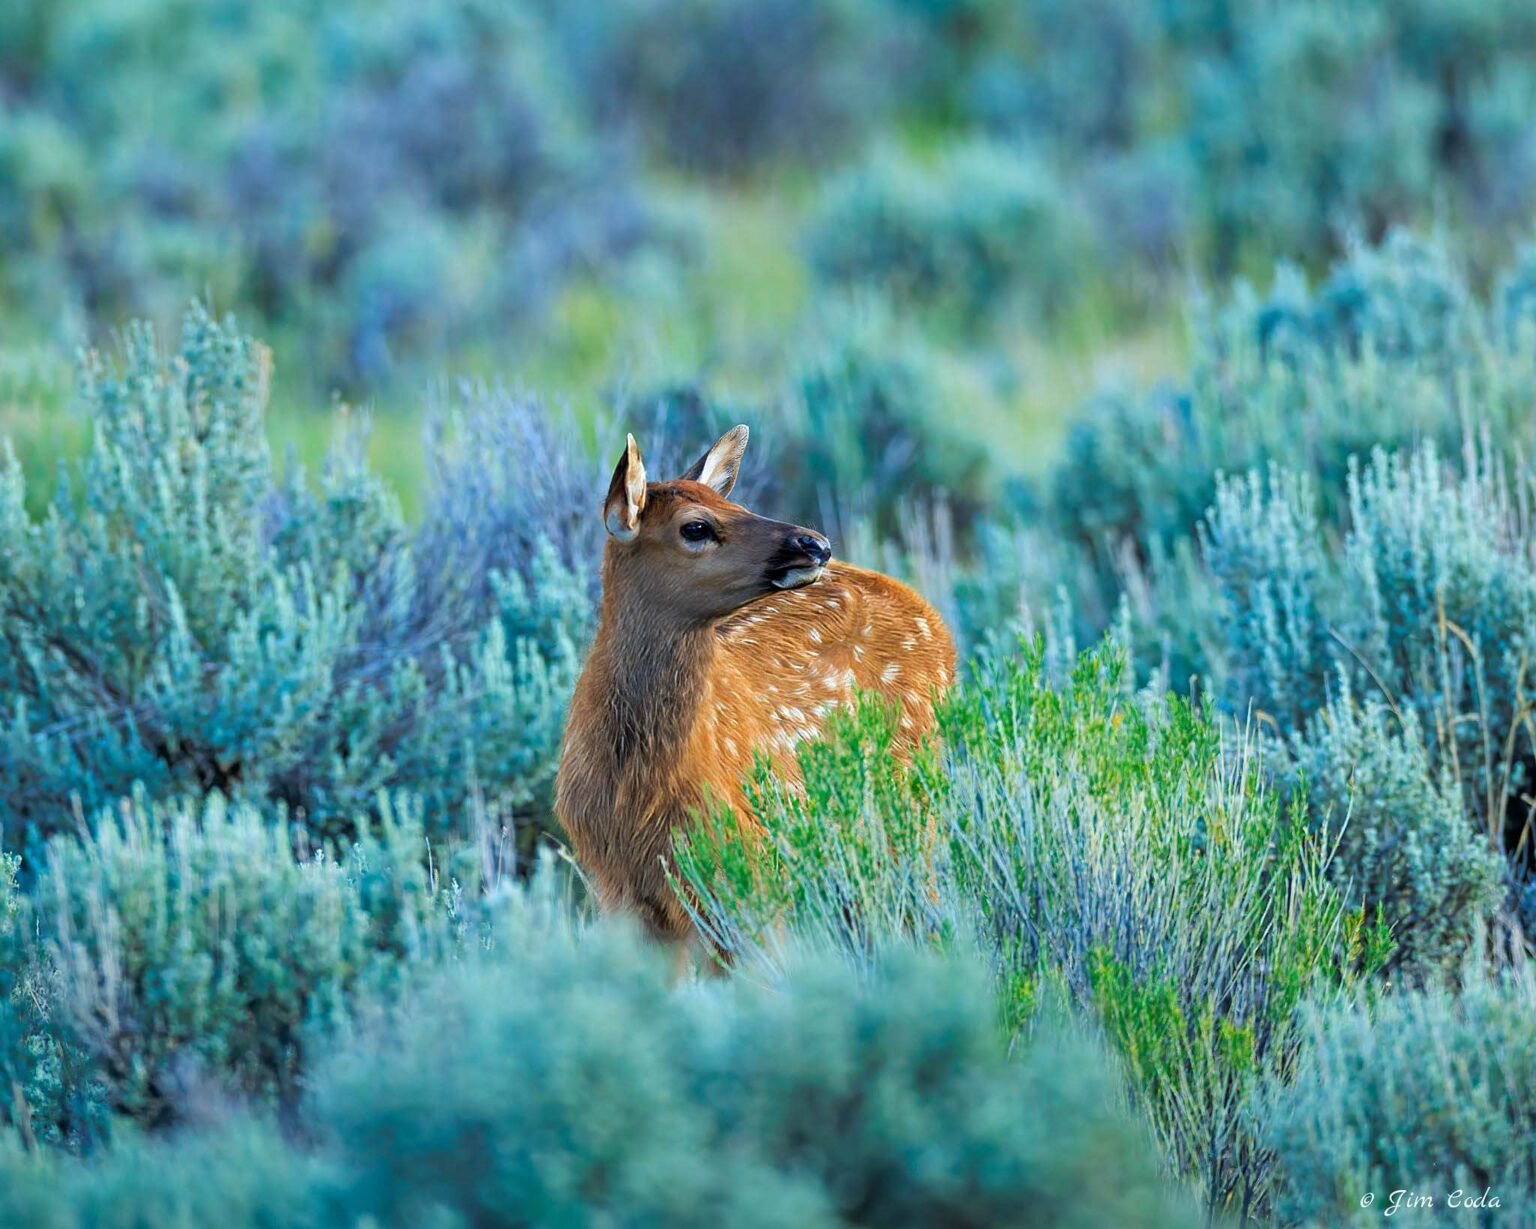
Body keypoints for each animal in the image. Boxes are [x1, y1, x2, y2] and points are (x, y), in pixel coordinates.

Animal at [555, 425, 957, 954]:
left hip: (915, 805)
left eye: (740, 506)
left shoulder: (751, 870)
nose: (816, 543)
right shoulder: (617, 887)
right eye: (696, 527)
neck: (638, 790)